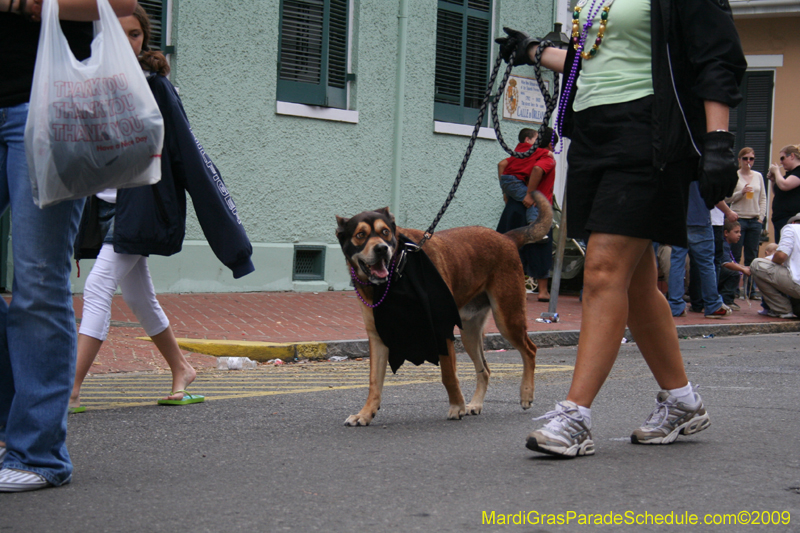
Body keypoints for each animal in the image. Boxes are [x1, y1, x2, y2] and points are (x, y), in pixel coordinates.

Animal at [334, 193, 552, 426]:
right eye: (360, 235)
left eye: (385, 232)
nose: (382, 248)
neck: (397, 272)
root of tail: (506, 238)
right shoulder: (378, 336)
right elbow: (374, 382)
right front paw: (365, 413)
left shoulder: (441, 331)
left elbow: (448, 375)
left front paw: (457, 407)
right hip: (470, 332)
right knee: (484, 369)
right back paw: (476, 404)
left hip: (507, 318)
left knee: (530, 350)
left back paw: (526, 394)